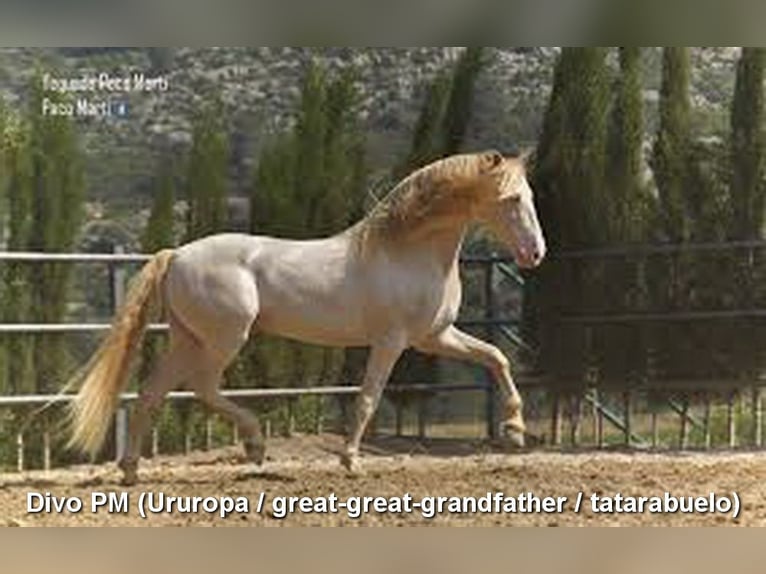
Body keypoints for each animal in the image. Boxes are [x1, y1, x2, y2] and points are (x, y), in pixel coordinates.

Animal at [67, 150, 546, 485]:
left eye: (529, 197)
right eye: (511, 199)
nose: (535, 254)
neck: (409, 251)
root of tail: (177, 255)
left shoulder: (436, 336)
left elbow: (496, 357)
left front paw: (515, 430)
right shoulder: (391, 341)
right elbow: (368, 397)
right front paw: (351, 462)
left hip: (189, 338)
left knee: (152, 392)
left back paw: (131, 472)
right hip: (225, 338)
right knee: (202, 387)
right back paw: (255, 445)